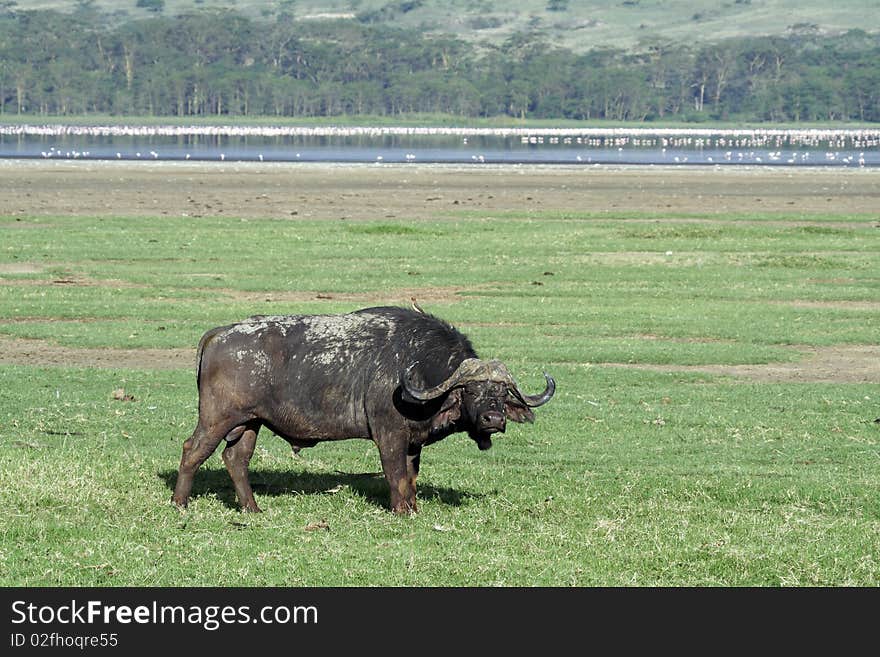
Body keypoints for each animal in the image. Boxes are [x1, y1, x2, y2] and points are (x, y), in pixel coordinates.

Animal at [172, 304, 552, 516]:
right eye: (470, 390)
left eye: (501, 393)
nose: (493, 419)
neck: (417, 368)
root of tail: (221, 333)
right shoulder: (389, 435)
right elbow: (395, 476)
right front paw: (401, 513)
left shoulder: (412, 443)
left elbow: (411, 478)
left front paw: (413, 509)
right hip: (217, 418)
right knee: (192, 450)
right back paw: (180, 504)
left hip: (250, 423)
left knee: (235, 460)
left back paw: (252, 509)